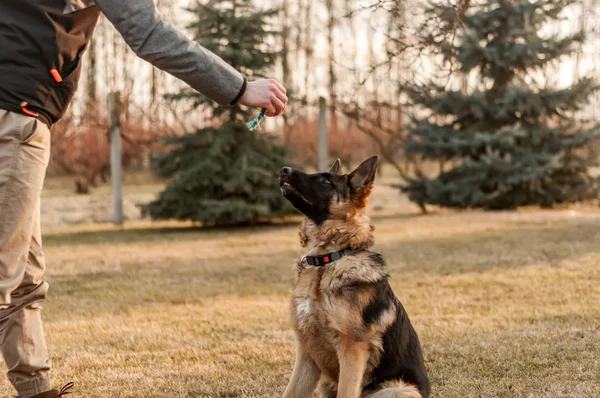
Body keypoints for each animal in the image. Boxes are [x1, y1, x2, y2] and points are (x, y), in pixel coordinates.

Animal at [278, 155, 428, 398]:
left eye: (326, 181)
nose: (283, 170)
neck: (325, 261)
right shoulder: (306, 353)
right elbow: (291, 393)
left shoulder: (352, 350)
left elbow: (346, 392)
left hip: (397, 388)